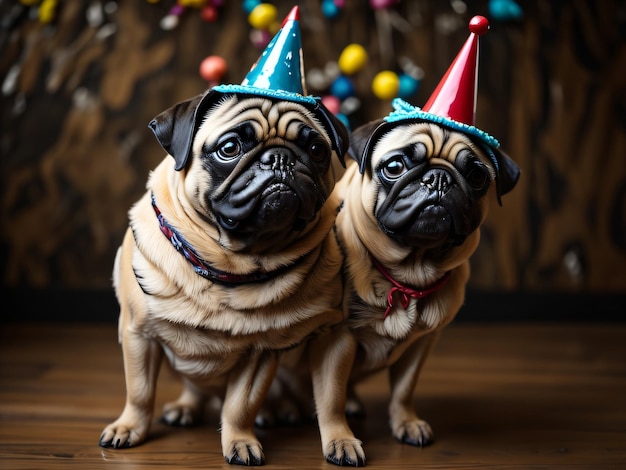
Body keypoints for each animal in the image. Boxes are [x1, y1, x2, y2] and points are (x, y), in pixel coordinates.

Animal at [97, 89, 352, 466]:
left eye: (317, 149)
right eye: (229, 148)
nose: (280, 158)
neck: (229, 267)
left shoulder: (260, 354)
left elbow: (239, 407)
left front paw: (240, 442)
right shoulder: (138, 335)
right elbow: (140, 392)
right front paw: (129, 428)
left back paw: (280, 412)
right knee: (193, 388)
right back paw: (186, 409)